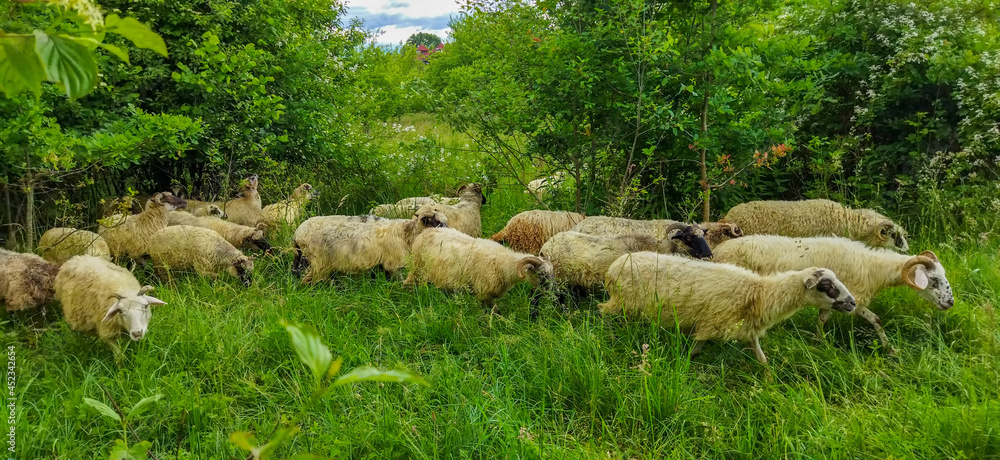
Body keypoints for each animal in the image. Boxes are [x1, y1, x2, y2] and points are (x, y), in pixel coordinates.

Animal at [292, 205, 448, 283]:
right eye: (436, 223)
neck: (406, 234)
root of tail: (297, 234)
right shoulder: (392, 265)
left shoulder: (380, 264)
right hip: (319, 263)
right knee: (308, 281)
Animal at [403, 227, 554, 318]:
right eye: (541, 274)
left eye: (552, 273)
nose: (554, 294)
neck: (503, 263)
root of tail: (425, 231)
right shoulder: (483, 293)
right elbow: (492, 313)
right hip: (417, 268)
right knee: (408, 284)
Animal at [599, 252, 856, 364]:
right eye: (826, 286)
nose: (853, 303)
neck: (758, 294)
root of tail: (613, 266)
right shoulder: (709, 323)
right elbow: (695, 350)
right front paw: (686, 362)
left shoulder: (749, 329)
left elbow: (762, 358)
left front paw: (768, 381)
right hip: (621, 301)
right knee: (603, 312)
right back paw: (610, 337)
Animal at [711, 235, 954, 353]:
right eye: (933, 280)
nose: (950, 303)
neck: (872, 267)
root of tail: (718, 250)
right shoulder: (853, 300)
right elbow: (876, 319)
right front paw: (889, 348)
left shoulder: (832, 301)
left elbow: (822, 321)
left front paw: (819, 343)